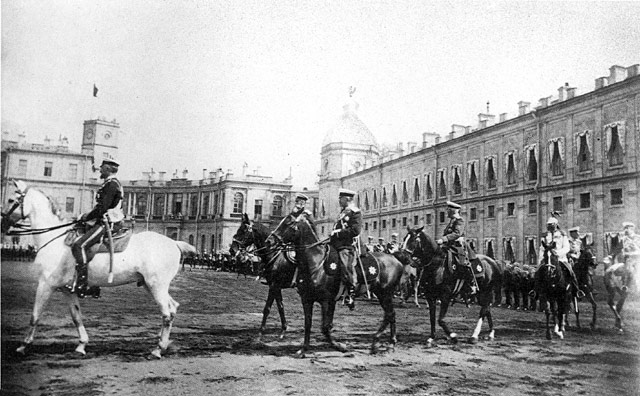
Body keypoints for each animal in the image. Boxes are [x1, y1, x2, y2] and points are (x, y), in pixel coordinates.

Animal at [1, 181, 195, 358]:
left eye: (10, 200)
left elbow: (35, 315)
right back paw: (163, 343)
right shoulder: (67, 290)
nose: (2, 223)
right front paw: (81, 345)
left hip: (157, 286)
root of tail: (174, 242)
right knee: (172, 308)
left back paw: (158, 349)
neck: (54, 239)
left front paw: (23, 346)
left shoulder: (45, 285)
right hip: (150, 285)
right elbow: (76, 316)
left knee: (167, 314)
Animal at [272, 213, 402, 356]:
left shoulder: (325, 301)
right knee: (390, 315)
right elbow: (308, 324)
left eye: (288, 223)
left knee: (390, 314)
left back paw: (381, 343)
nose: (271, 239)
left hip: (385, 294)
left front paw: (340, 346)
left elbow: (325, 327)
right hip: (382, 294)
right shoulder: (307, 299)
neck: (316, 263)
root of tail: (396, 259)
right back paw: (387, 343)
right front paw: (303, 349)